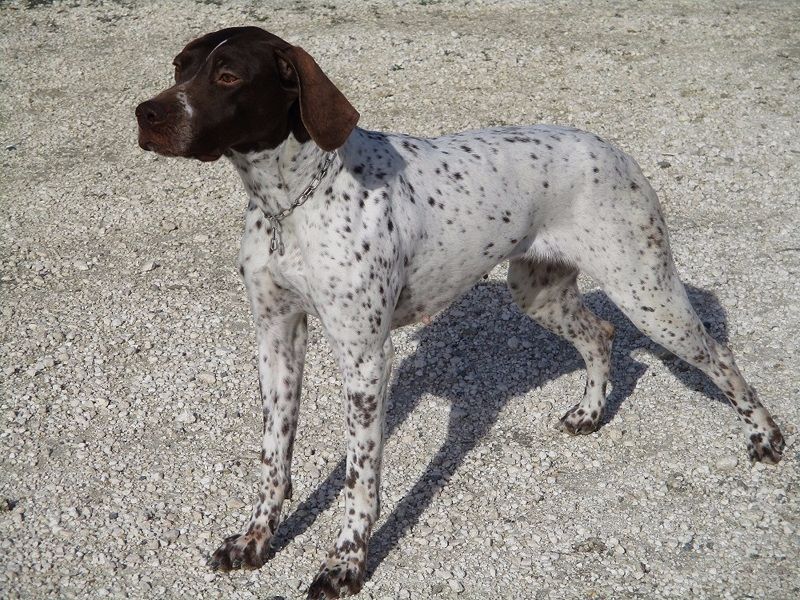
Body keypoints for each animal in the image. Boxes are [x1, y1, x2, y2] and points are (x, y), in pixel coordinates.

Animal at [134, 25, 784, 596]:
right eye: (179, 67)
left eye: (227, 75)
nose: (145, 114)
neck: (289, 204)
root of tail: (612, 149)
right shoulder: (276, 338)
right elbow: (274, 457)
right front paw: (256, 539)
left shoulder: (365, 358)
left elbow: (360, 479)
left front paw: (345, 564)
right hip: (539, 291)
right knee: (601, 333)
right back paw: (591, 411)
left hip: (648, 294)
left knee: (720, 357)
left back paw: (765, 437)